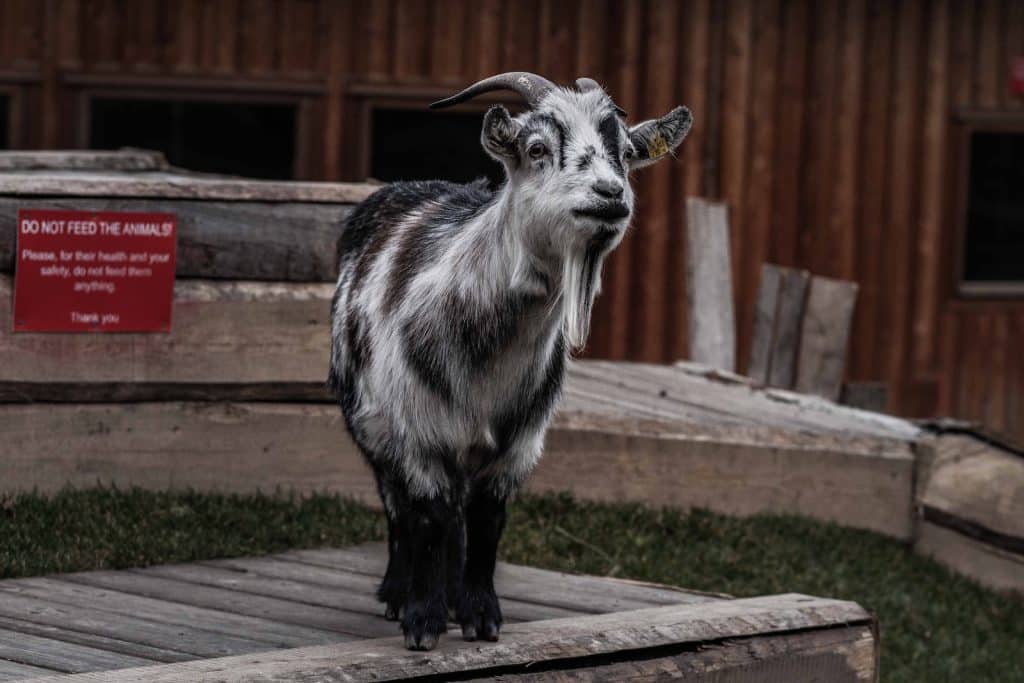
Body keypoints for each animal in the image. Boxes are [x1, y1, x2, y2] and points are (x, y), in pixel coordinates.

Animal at [331, 72, 692, 651]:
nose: (610, 194)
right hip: (372, 427)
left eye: (624, 153)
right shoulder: (419, 431)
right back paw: (396, 593)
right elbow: (426, 518)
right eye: (537, 148)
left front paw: (478, 615)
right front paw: (423, 621)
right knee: (397, 507)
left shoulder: (517, 442)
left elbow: (486, 523)